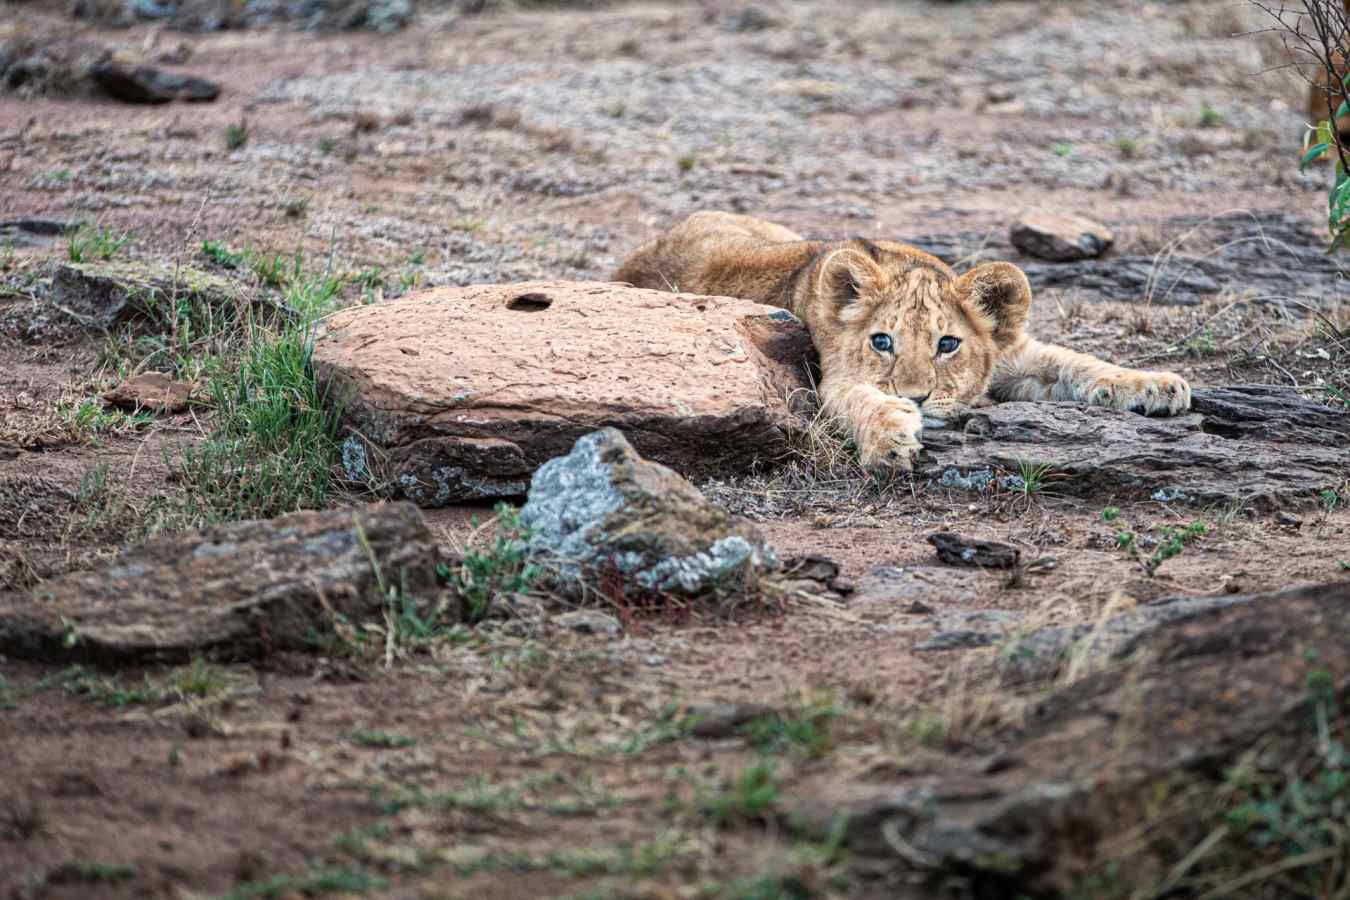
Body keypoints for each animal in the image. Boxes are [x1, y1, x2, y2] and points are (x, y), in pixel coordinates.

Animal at [613, 211, 1191, 472]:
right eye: (882, 341)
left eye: (948, 345)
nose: (917, 398)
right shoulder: (830, 377)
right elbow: (862, 400)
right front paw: (891, 439)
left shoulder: (1014, 354)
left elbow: (1077, 362)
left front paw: (1159, 385)